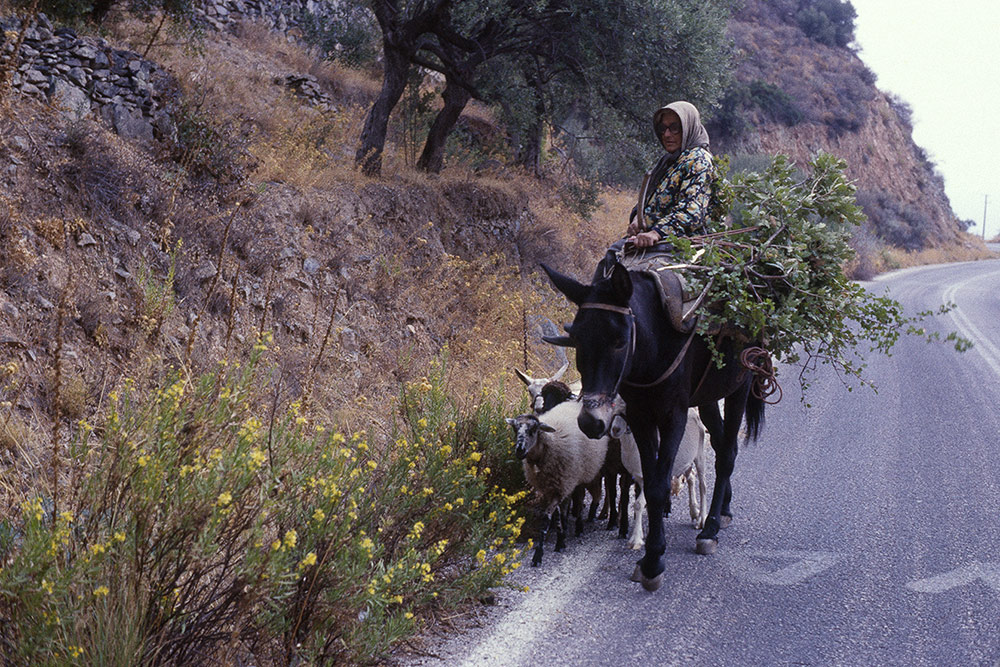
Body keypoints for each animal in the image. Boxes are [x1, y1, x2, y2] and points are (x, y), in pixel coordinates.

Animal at [508, 400, 608, 568]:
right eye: (515, 429)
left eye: (533, 430)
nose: (520, 451)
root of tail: (574, 403)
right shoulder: (551, 488)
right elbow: (556, 516)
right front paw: (560, 540)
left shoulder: (561, 487)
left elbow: (547, 518)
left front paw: (538, 555)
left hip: (579, 475)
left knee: (579, 499)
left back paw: (579, 526)